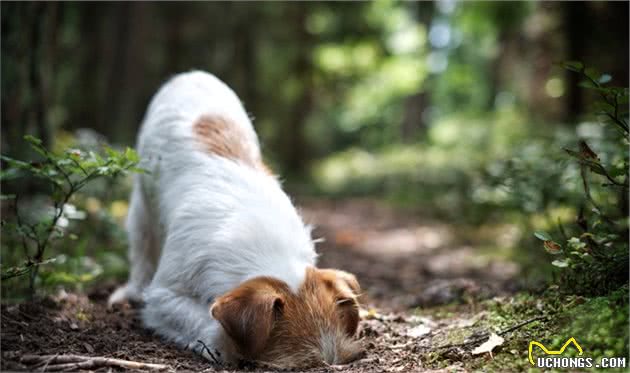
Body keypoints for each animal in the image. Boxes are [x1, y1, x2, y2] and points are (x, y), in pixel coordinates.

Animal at [109, 70, 366, 366]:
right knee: (141, 245)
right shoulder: (163, 297)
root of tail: (192, 74)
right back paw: (130, 291)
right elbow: (203, 321)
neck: (265, 248)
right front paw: (224, 344)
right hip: (142, 203)